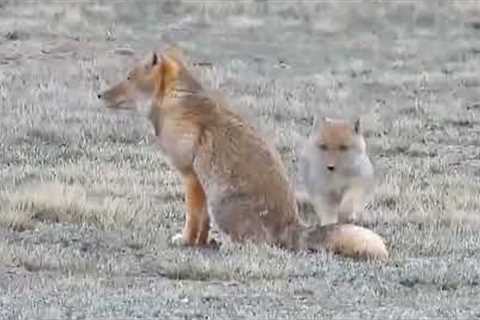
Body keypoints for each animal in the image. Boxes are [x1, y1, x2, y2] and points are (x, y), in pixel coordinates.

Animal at [98, 49, 390, 260]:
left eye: (128, 77)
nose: (100, 94)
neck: (177, 104)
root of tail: (291, 225)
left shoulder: (191, 177)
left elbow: (193, 219)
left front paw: (187, 242)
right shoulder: (200, 183)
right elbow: (202, 224)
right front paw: (201, 243)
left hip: (221, 205)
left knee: (258, 245)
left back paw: (231, 246)